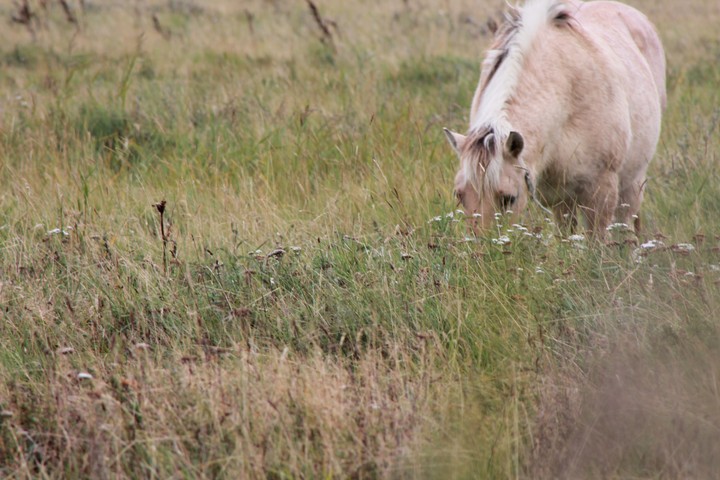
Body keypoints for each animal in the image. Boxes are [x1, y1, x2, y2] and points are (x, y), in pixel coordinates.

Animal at [444, 0, 666, 237]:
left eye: (509, 198)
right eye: (459, 194)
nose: (483, 245)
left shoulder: (600, 194)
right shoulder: (557, 196)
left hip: (631, 184)